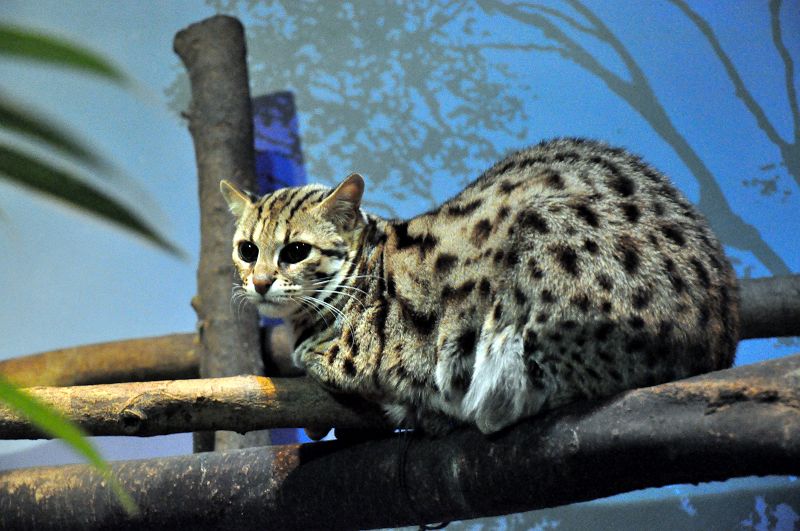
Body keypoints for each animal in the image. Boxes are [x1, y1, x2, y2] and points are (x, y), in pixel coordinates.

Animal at [221, 138, 739, 435]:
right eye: (247, 250)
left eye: (295, 251)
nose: (260, 282)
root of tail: (719, 342)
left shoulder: (374, 348)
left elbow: (328, 356)